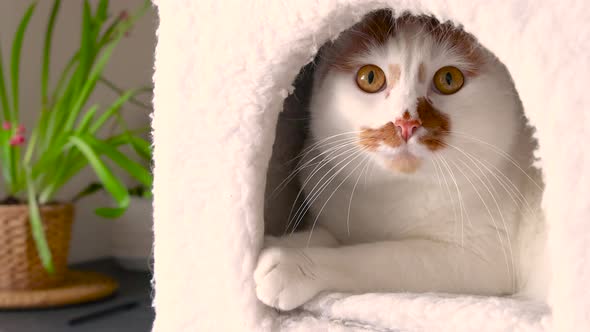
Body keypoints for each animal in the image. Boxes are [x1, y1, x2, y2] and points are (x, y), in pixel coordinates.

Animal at [254, 10, 552, 312]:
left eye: (449, 79)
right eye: (370, 77)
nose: (406, 123)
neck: (394, 193)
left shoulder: (481, 256)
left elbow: (372, 256)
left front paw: (291, 264)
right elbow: (328, 234)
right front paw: (279, 242)